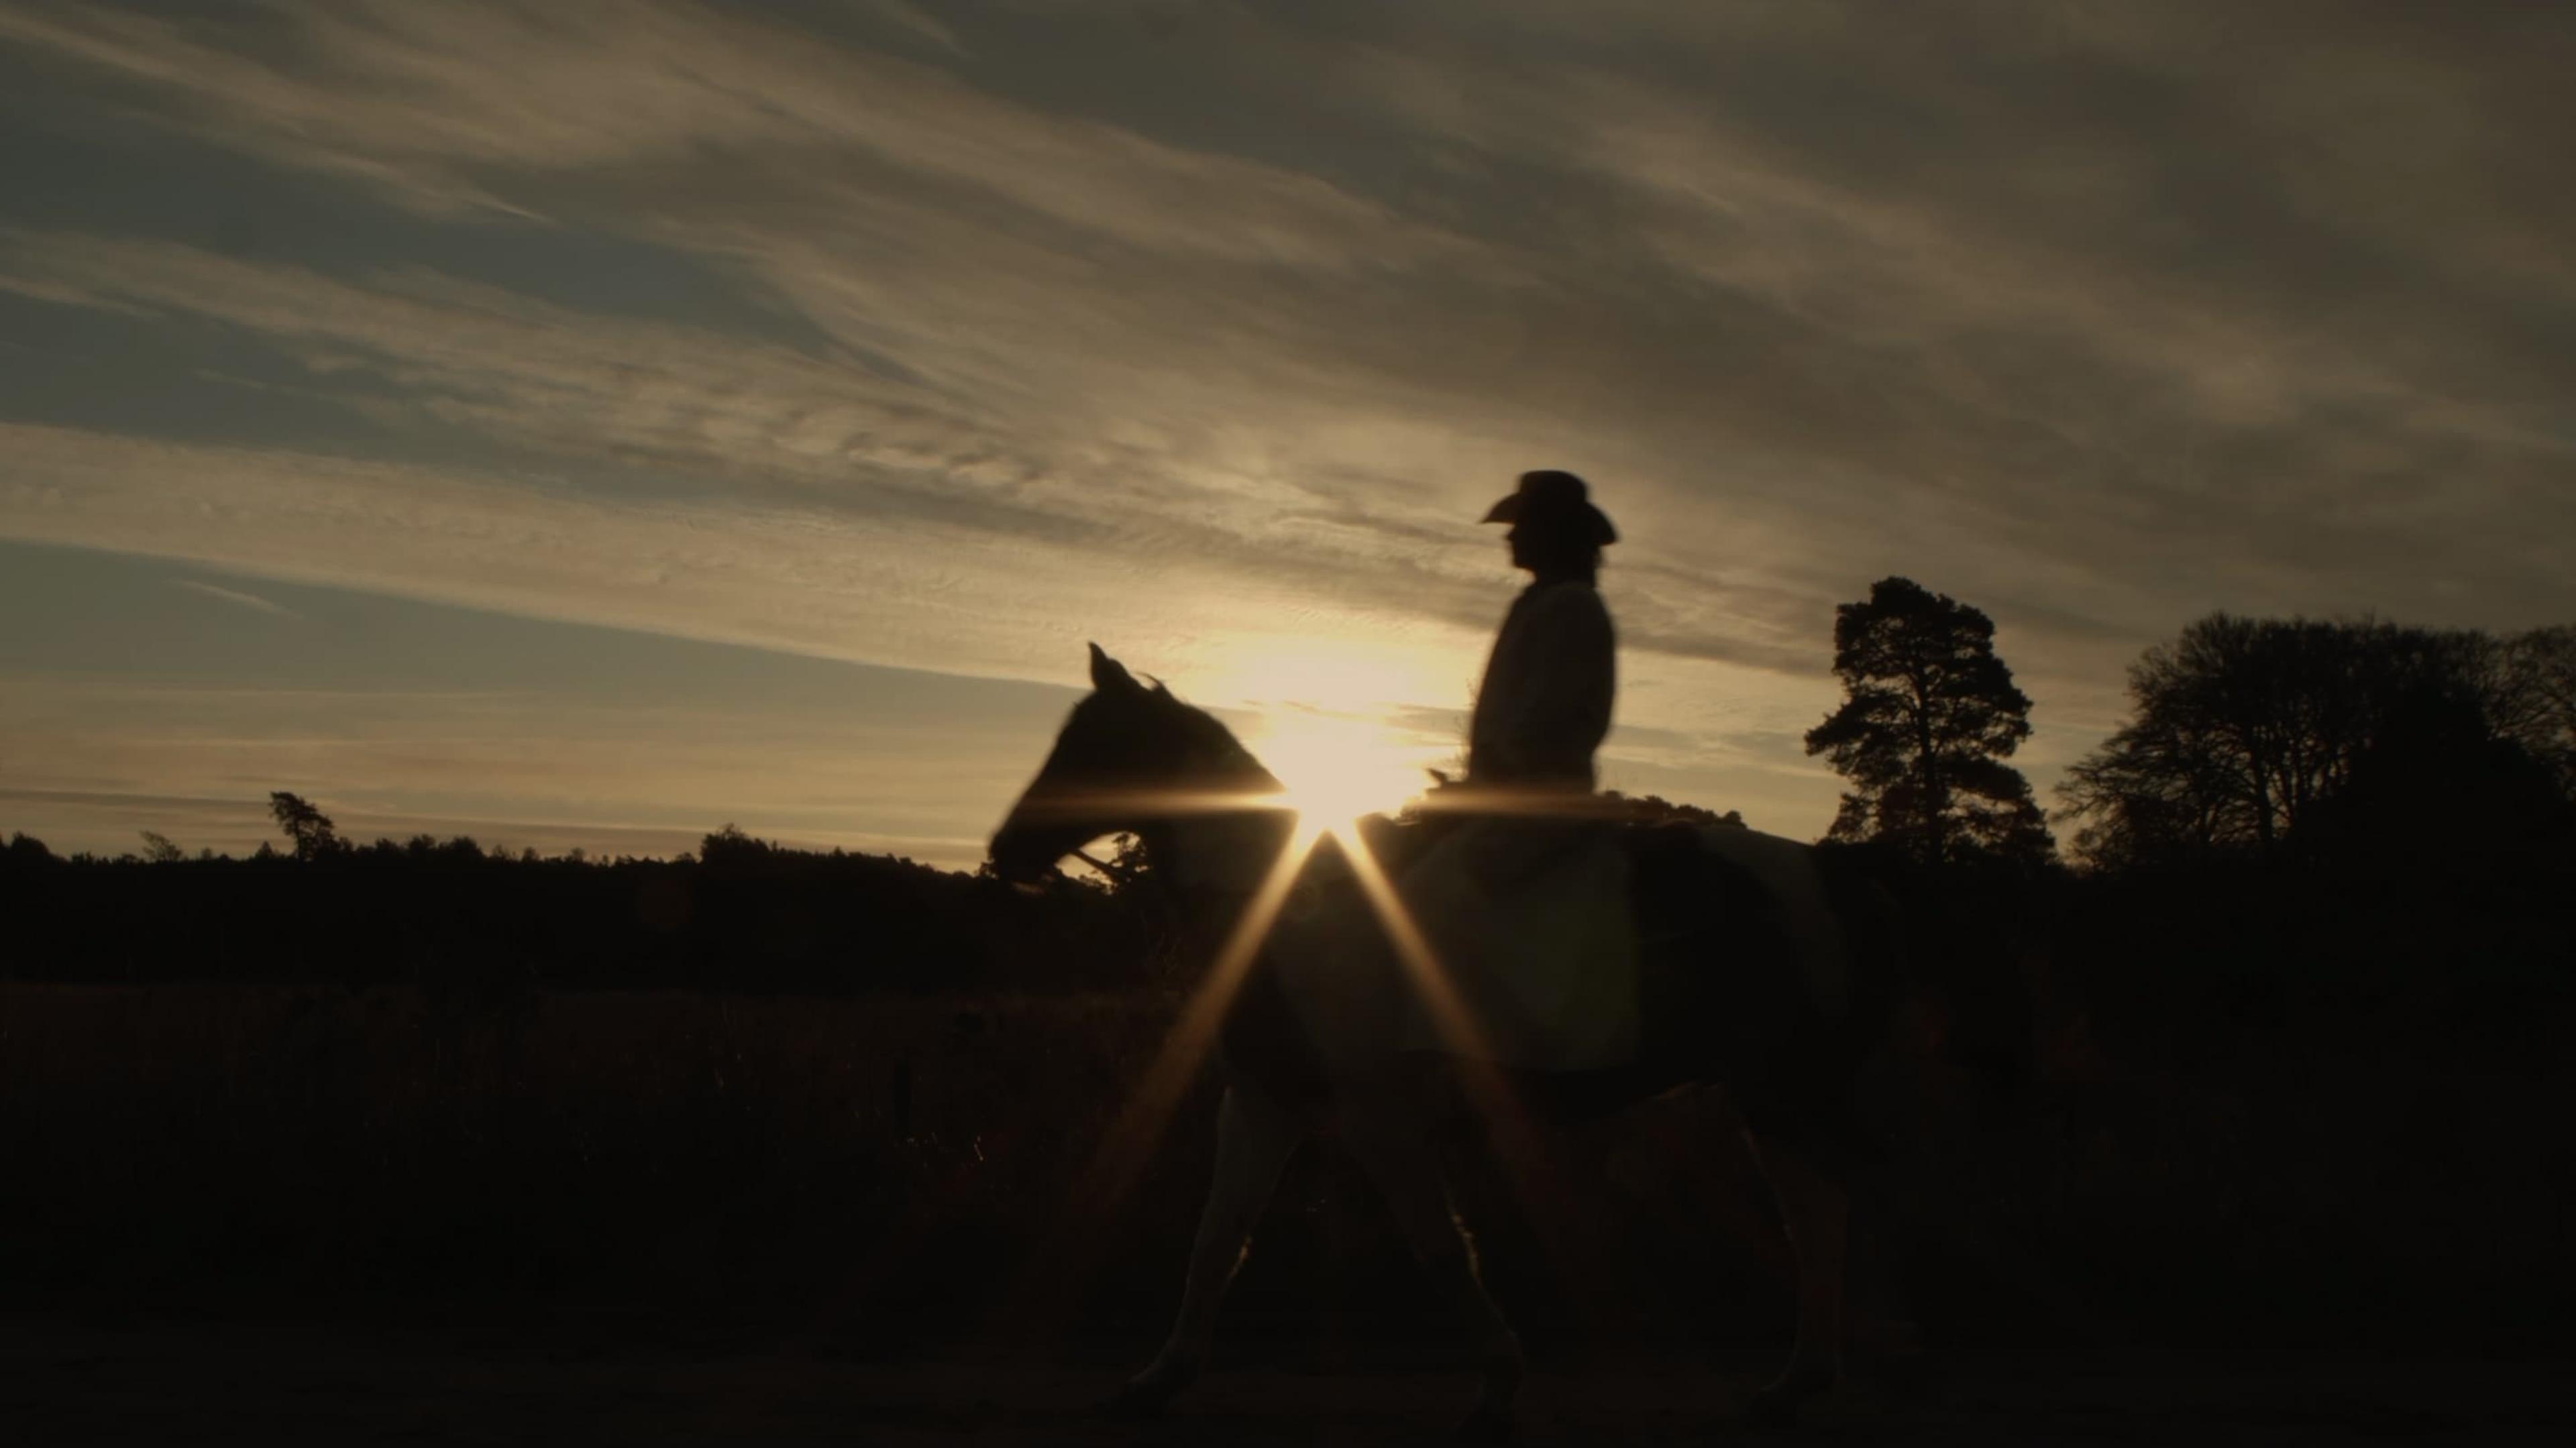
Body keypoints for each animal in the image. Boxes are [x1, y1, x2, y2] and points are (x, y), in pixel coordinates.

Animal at [994, 641, 1927, 1432]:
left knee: (1840, 1205)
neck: (1286, 908)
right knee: (1820, 1213)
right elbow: (1218, 1237)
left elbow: (1441, 1245)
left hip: (1788, 1088)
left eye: (1096, 744)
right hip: (1774, 1094)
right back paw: (1798, 1380)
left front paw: (1500, 1380)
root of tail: (1838, 868)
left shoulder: (1379, 1116)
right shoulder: (1264, 1101)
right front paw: (1159, 1377)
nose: (1006, 851)